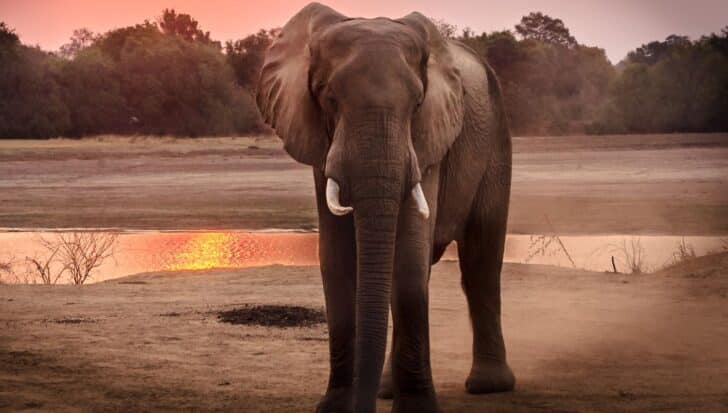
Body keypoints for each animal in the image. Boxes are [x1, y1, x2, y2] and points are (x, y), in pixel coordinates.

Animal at [256, 3, 514, 412]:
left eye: (417, 104)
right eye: (329, 99)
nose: (360, 406)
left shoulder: (428, 138)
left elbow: (407, 256)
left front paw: (416, 409)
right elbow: (337, 259)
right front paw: (335, 407)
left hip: (496, 141)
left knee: (481, 262)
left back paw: (488, 386)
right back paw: (387, 390)